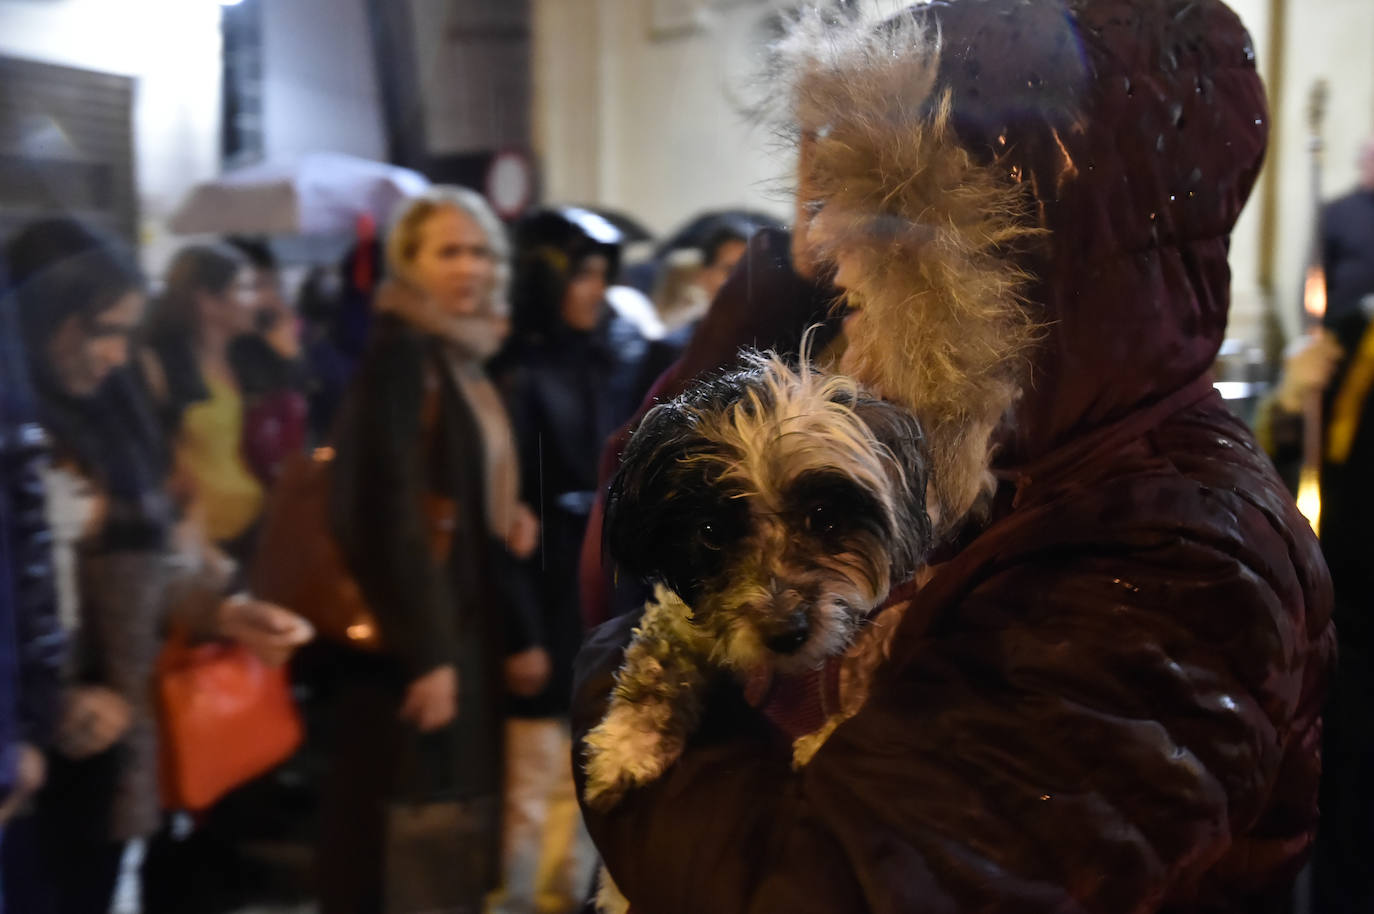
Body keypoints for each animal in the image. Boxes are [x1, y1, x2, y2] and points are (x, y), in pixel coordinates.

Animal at [579, 350, 934, 813]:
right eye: (711, 531)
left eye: (824, 516)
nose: (785, 633)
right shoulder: (683, 620)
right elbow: (654, 664)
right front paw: (627, 747)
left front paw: (817, 741)